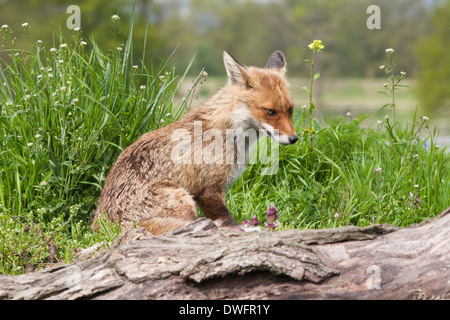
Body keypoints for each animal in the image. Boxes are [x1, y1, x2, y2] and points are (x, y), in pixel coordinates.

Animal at [92, 50, 298, 235]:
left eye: (290, 110)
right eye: (270, 111)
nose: (294, 139)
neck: (229, 130)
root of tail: (103, 227)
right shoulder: (208, 191)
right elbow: (226, 221)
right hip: (183, 200)